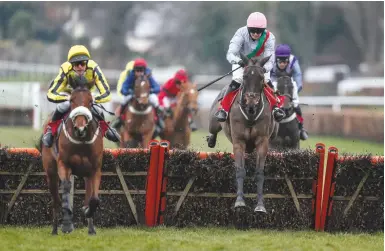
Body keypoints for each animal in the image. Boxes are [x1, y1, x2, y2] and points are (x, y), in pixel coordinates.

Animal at [40, 76, 104, 235]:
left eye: (90, 101)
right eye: (72, 100)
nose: (80, 128)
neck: (81, 140)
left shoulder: (95, 169)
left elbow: (94, 198)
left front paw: (87, 211)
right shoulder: (64, 164)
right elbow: (66, 187)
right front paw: (67, 224)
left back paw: (91, 228)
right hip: (50, 172)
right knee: (56, 200)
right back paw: (55, 229)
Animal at [207, 55, 276, 214]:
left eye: (261, 77)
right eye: (244, 76)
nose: (251, 101)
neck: (250, 114)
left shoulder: (262, 142)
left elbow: (259, 173)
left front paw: (260, 205)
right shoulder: (239, 142)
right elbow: (240, 170)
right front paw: (239, 201)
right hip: (214, 121)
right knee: (213, 130)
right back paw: (211, 140)